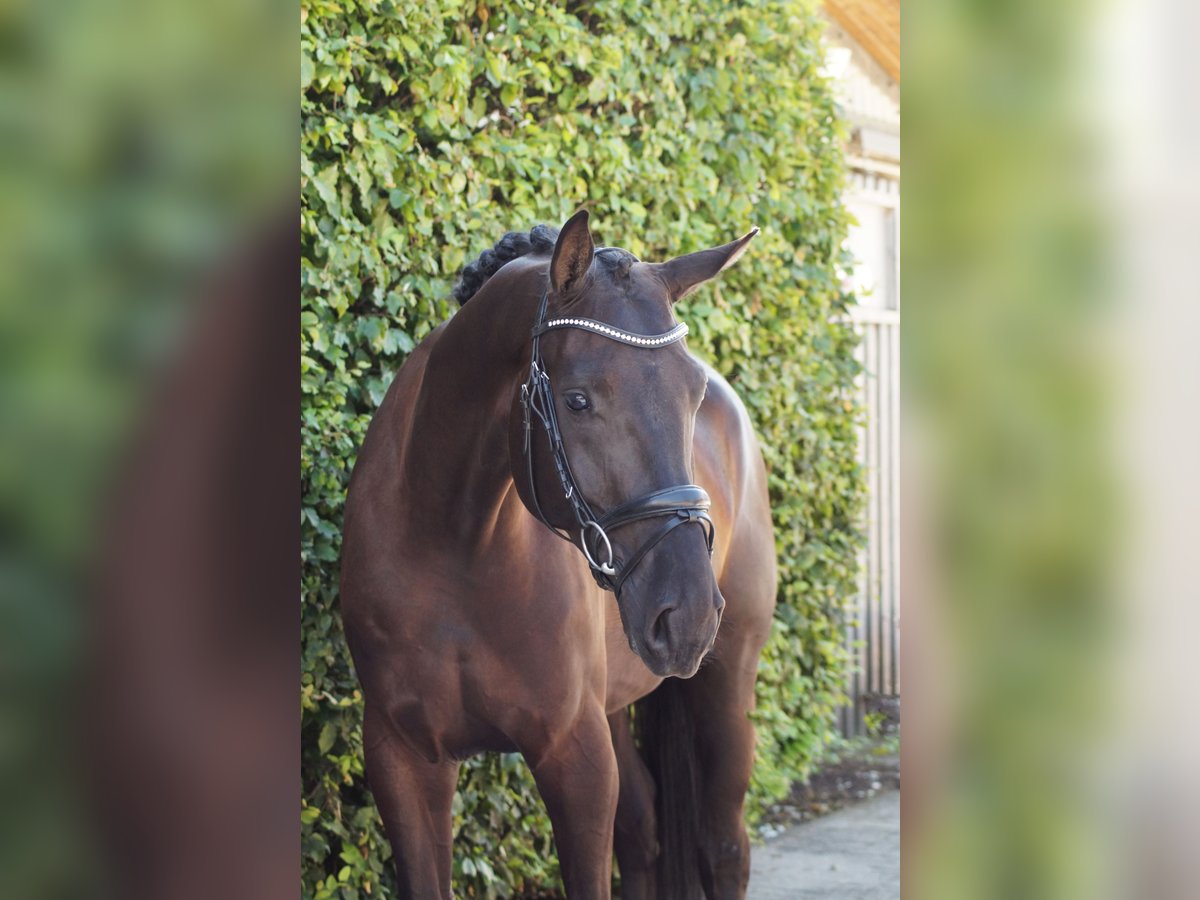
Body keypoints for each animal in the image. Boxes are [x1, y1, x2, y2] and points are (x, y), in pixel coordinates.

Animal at [343, 213, 782, 900]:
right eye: (577, 400)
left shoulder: (577, 758)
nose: (686, 616)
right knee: (643, 829)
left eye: (693, 394)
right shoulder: (402, 758)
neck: (452, 546)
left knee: (723, 847)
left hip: (727, 680)